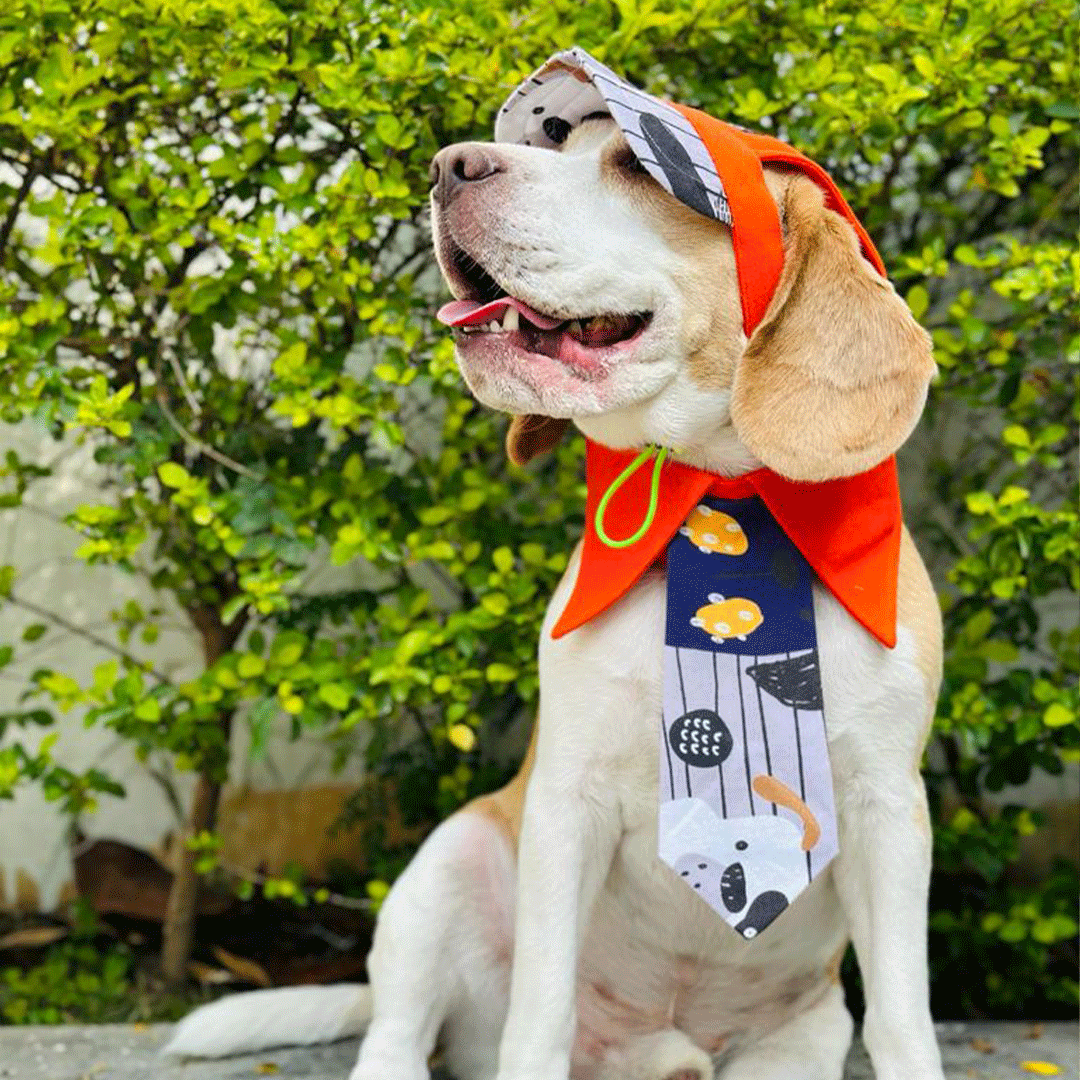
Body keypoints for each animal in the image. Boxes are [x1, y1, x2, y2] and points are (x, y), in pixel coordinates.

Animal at [166, 54, 946, 1080]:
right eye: (562, 141)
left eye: (639, 168)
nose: (449, 165)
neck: (721, 506)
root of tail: (656, 1048)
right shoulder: (565, 804)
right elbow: (541, 1010)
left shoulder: (890, 813)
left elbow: (902, 1016)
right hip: (448, 866)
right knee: (397, 1031)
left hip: (803, 1036)